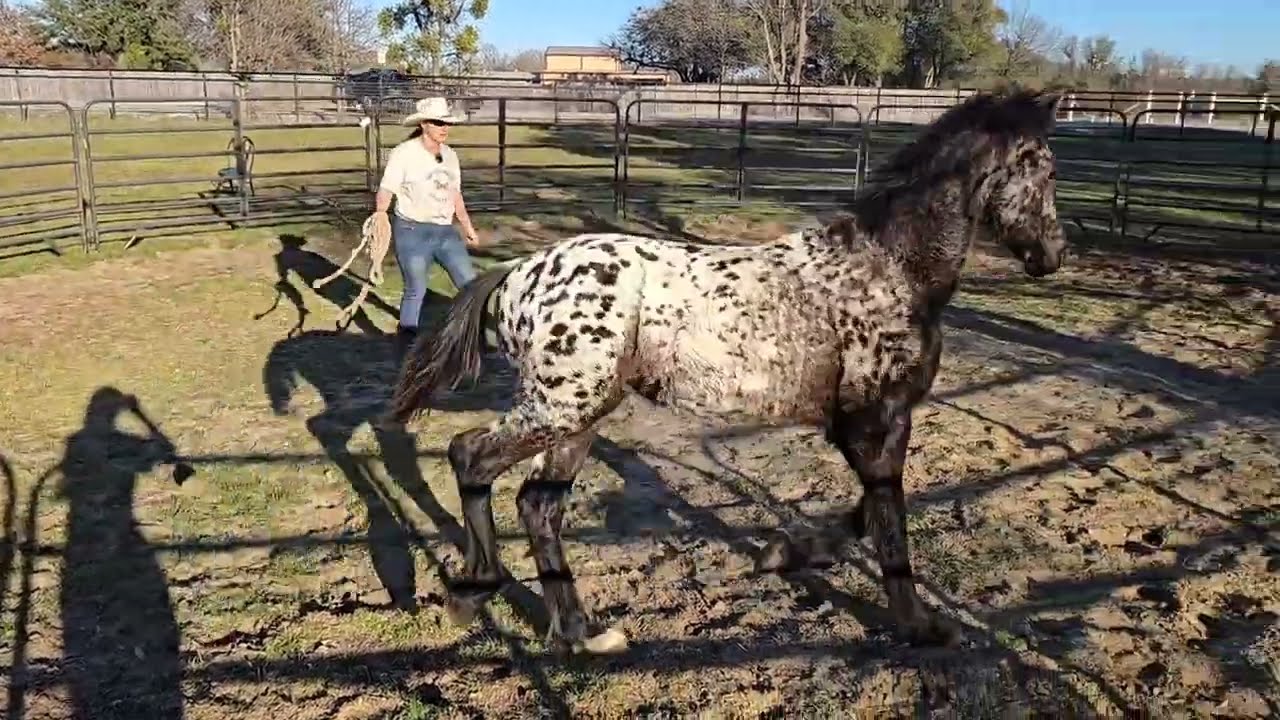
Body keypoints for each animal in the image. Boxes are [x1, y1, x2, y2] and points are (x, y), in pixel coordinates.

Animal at [386, 89, 1069, 655]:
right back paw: (474, 592)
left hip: (579, 415)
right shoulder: (876, 421)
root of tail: (517, 273)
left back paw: (581, 633)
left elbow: (867, 512)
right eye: (1045, 167)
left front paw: (783, 554)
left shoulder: (868, 425)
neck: (890, 269)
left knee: (537, 504)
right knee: (472, 457)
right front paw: (923, 625)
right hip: (563, 406)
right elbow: (889, 521)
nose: (1053, 256)